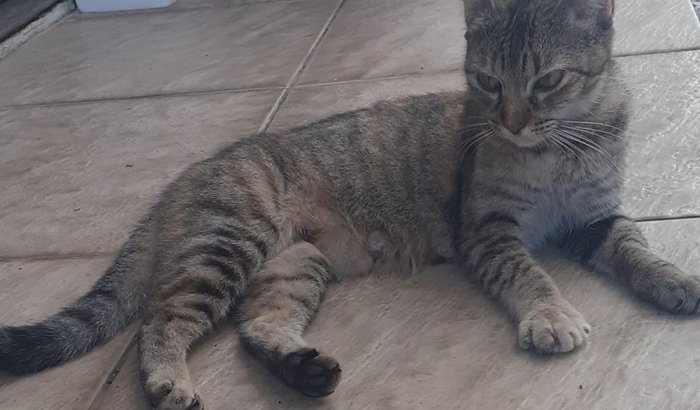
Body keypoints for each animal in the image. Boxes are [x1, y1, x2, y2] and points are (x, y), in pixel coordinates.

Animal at [2, 0, 698, 409]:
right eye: (487, 82)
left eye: (548, 81)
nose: (512, 123)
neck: (560, 150)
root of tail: (187, 176)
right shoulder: (488, 230)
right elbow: (529, 273)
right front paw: (551, 315)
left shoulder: (598, 217)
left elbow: (635, 248)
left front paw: (672, 278)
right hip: (229, 245)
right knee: (163, 318)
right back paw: (169, 380)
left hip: (294, 266)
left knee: (257, 326)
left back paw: (301, 369)